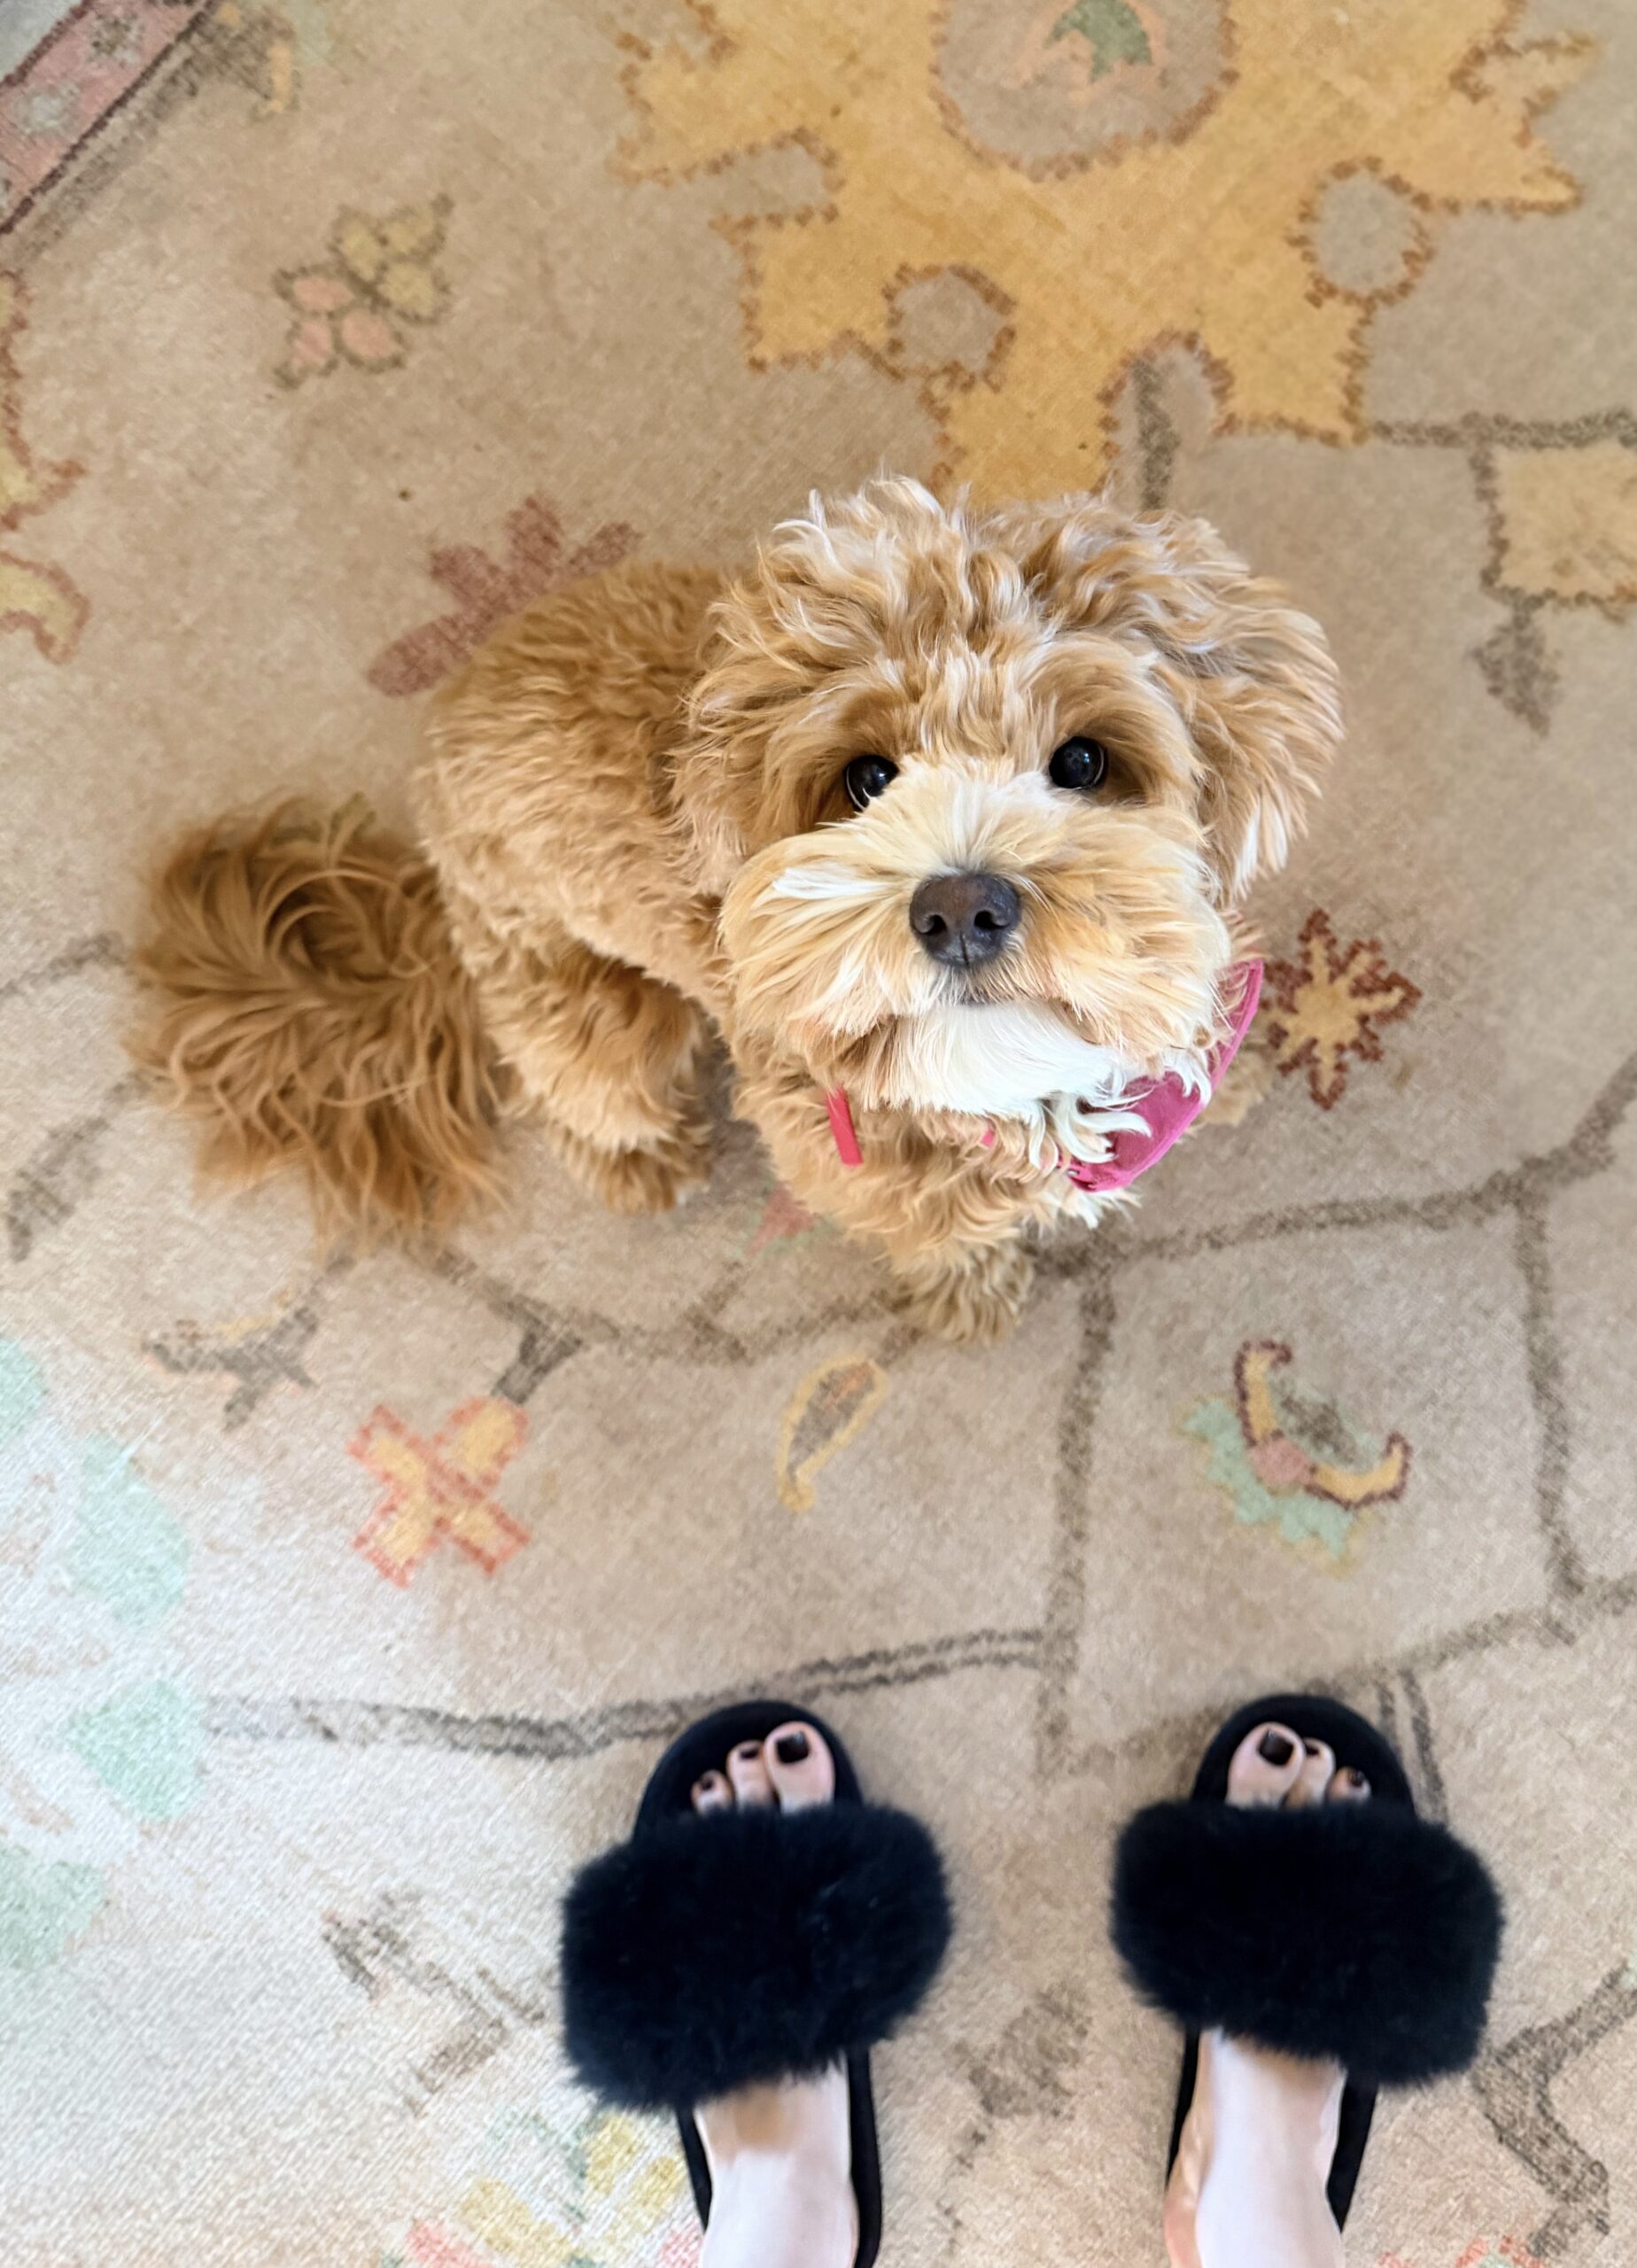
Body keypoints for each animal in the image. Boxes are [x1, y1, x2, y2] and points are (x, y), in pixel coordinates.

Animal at [132, 479, 1339, 1343]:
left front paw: (1226, 1084)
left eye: (1084, 761)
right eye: (865, 779)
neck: (1015, 1089)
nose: (959, 907)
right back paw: (639, 1161)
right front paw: (971, 1298)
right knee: (564, 1083)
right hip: (598, 1013)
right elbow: (940, 1241)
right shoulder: (855, 1171)